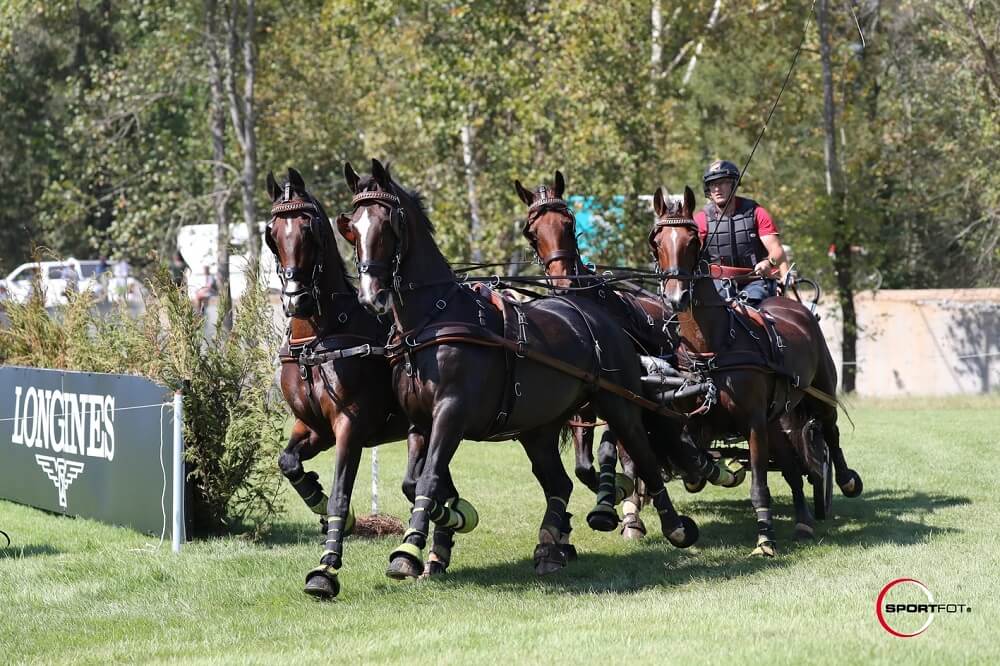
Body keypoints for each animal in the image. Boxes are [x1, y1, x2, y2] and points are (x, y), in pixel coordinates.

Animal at [266, 167, 468, 596]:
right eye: (272, 233)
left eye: (309, 230)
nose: (294, 299)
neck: (319, 338)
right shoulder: (313, 427)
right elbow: (288, 462)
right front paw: (318, 497)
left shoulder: (350, 427)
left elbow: (342, 494)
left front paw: (326, 569)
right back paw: (439, 547)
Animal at [340, 158, 700, 580]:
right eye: (352, 226)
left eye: (388, 223)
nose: (371, 295)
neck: (433, 320)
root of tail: (599, 315)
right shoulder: (419, 420)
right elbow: (413, 482)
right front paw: (452, 518)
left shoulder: (451, 413)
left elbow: (428, 478)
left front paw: (408, 552)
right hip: (537, 426)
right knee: (560, 482)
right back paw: (549, 546)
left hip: (618, 403)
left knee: (643, 455)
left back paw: (672, 526)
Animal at [516, 170, 744, 536]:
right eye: (532, 232)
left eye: (568, 222)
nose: (563, 282)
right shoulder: (584, 405)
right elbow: (585, 466)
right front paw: (612, 498)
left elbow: (621, 450)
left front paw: (620, 497)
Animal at [644, 184, 864, 552]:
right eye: (656, 241)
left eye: (692, 241)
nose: (677, 297)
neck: (714, 346)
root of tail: (798, 309)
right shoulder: (699, 419)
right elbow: (690, 451)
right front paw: (709, 473)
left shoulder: (754, 422)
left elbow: (760, 483)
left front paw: (765, 538)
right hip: (777, 418)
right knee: (791, 465)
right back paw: (802, 521)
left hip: (818, 393)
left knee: (829, 432)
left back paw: (845, 481)